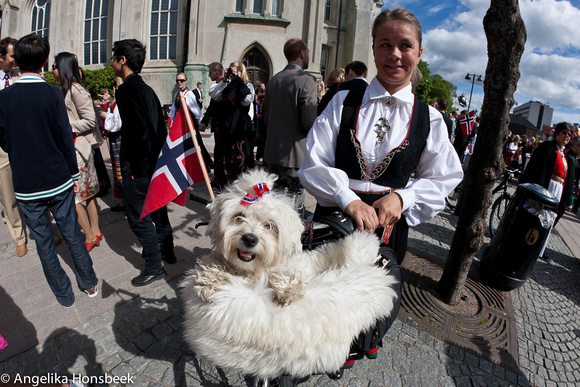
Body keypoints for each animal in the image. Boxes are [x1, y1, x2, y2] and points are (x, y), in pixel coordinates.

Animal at [181, 170, 398, 378]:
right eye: (239, 217)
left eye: (269, 225)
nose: (249, 238)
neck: (252, 271)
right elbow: (212, 261)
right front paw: (208, 280)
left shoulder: (287, 267)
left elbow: (287, 273)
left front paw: (287, 290)